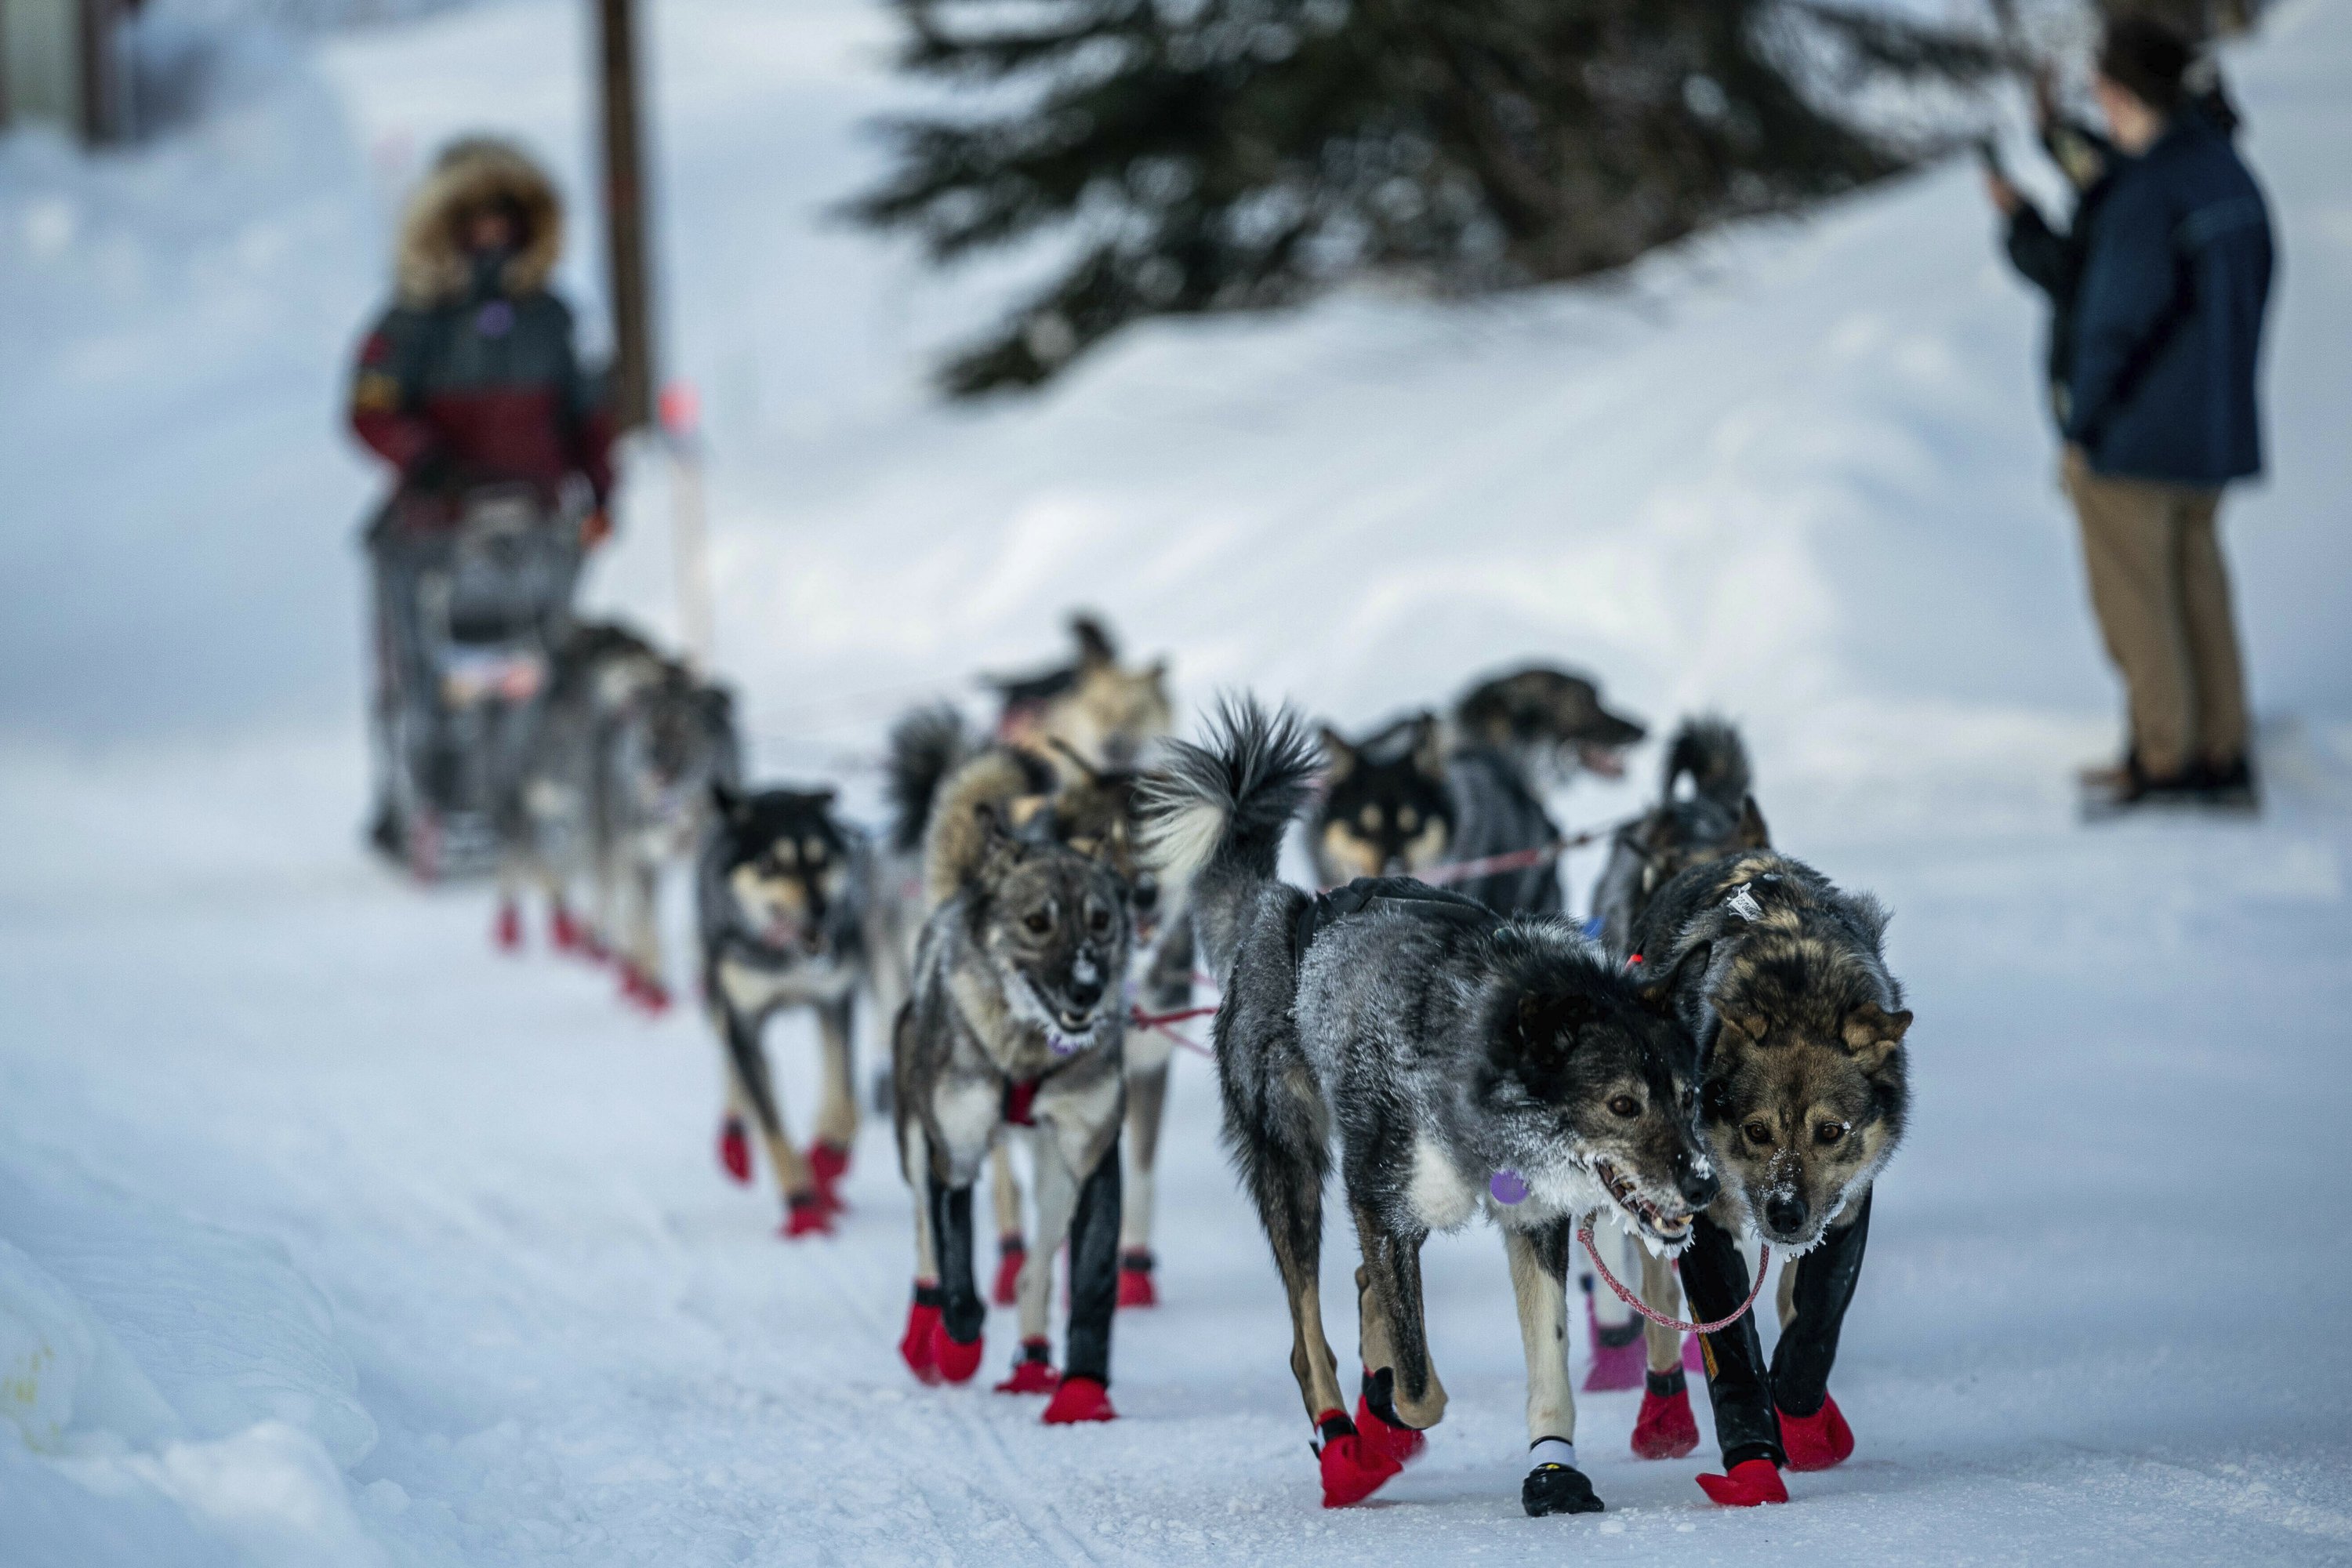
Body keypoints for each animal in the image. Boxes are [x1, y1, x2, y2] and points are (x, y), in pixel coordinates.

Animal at [691, 785, 870, 1241]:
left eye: (821, 860)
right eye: (770, 864)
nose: (820, 907)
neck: (786, 960)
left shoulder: (836, 1002)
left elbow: (846, 1099)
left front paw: (827, 1158)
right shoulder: (744, 1021)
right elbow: (771, 1124)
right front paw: (801, 1204)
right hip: (718, 1000)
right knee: (737, 1072)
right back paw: (735, 1144)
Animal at [884, 780, 1134, 1429]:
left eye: (1101, 921)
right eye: (1037, 922)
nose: (1087, 988)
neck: (1027, 1051)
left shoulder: (1091, 1153)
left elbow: (1092, 1279)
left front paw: (1084, 1388)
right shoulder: (955, 1151)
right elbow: (956, 1263)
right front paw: (957, 1346)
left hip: (1053, 1179)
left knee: (1034, 1271)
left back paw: (1033, 1361)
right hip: (915, 1141)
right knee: (926, 1239)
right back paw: (924, 1337)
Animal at [1148, 705, 1722, 1514]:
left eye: (1690, 1094)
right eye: (1622, 1104)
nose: (1704, 1184)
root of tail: (1283, 909)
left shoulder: (1531, 1218)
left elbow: (1546, 1360)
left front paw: (1555, 1471)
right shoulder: (1382, 1201)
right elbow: (1421, 1388)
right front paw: (1388, 1412)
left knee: (1364, 1288)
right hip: (1293, 1170)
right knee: (1307, 1334)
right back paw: (1345, 1440)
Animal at [1628, 846, 1919, 1504]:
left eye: (1831, 1131)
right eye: (1757, 1131)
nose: (1785, 1213)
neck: (1797, 993)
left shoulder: (1846, 1211)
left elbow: (1815, 1322)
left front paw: (1801, 1416)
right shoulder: (1705, 1225)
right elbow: (1729, 1346)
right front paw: (1753, 1458)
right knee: (1658, 1309)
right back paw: (1663, 1416)